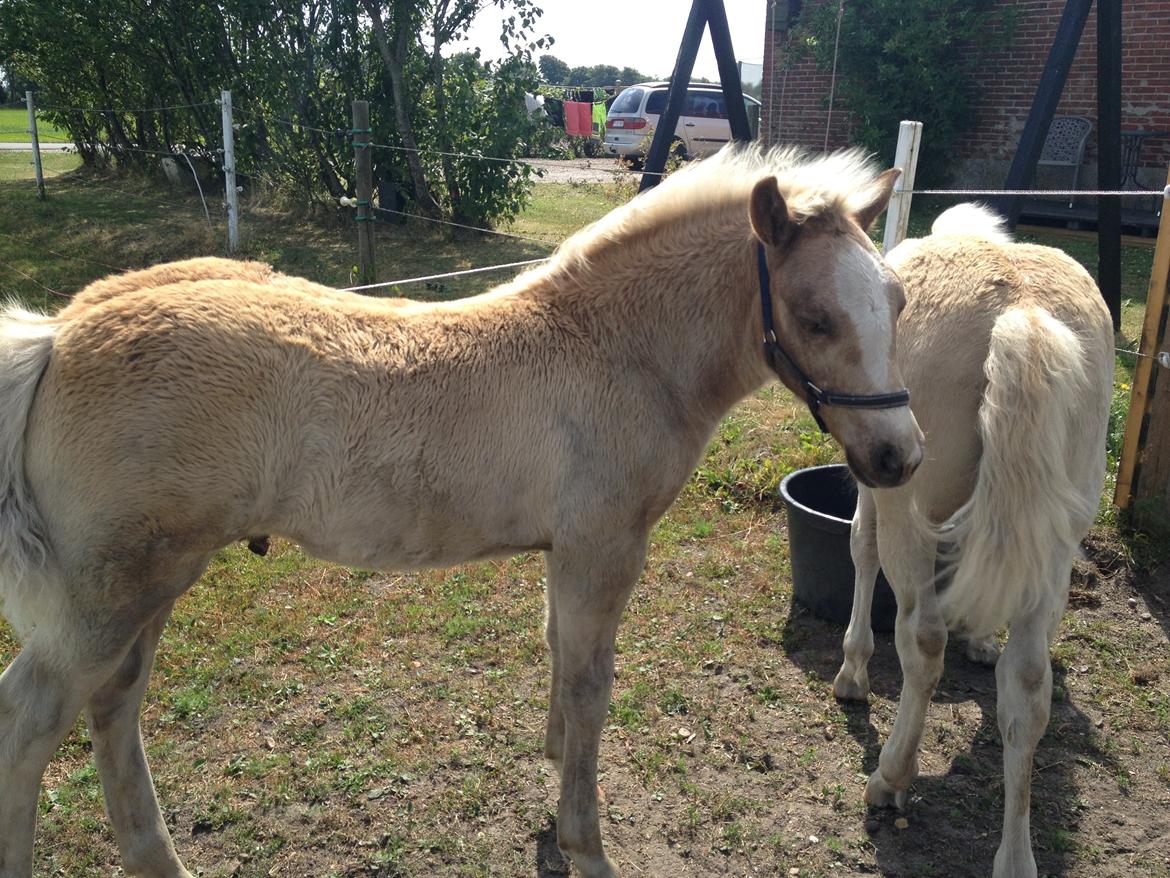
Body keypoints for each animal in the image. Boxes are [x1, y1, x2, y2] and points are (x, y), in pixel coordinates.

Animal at [0, 148, 917, 875]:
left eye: (900, 301)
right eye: (814, 318)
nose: (898, 457)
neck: (613, 348)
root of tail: (59, 333)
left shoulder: (566, 550)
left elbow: (559, 653)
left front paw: (553, 767)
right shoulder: (604, 548)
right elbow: (591, 682)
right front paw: (585, 845)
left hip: (150, 585)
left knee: (114, 706)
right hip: (110, 594)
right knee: (31, 723)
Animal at [828, 202, 1109, 875]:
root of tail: (1021, 315)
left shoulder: (879, 484)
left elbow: (860, 548)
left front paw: (852, 674)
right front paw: (981, 639)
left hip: (911, 515)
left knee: (923, 640)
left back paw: (890, 777)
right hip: (1057, 543)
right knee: (1029, 686)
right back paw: (1015, 856)